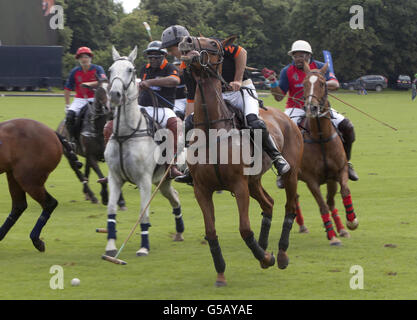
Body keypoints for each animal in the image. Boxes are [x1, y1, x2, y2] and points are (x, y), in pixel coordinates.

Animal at [0, 119, 83, 251]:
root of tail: (52, 133)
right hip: (14, 175)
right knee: (19, 206)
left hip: (29, 179)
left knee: (49, 203)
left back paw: (36, 239)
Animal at [57, 81, 126, 209]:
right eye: (99, 91)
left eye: (111, 88)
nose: (110, 108)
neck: (98, 129)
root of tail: (59, 127)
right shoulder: (92, 156)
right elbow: (101, 176)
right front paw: (105, 196)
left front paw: (121, 200)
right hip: (70, 156)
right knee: (79, 174)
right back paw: (92, 195)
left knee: (86, 172)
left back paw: (88, 194)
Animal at [103, 46, 184, 258]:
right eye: (110, 69)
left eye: (130, 69)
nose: (115, 95)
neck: (126, 134)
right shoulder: (115, 177)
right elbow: (111, 209)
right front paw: (111, 248)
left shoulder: (144, 180)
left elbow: (143, 213)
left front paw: (143, 247)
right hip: (162, 182)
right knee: (175, 197)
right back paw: (179, 231)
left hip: (161, 177)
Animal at [179, 36, 302, 286]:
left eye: (213, 44)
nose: (186, 41)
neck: (213, 129)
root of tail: (286, 117)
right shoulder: (202, 189)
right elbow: (211, 232)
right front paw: (221, 273)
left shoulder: (238, 185)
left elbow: (245, 229)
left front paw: (266, 258)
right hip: (254, 181)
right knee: (269, 204)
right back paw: (264, 246)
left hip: (290, 174)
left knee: (289, 206)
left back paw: (280, 254)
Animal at [294, 62, 360, 245]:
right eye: (304, 84)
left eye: (323, 83)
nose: (311, 107)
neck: (321, 137)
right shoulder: (311, 180)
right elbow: (322, 205)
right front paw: (332, 237)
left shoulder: (339, 171)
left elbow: (344, 192)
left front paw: (351, 221)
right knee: (295, 198)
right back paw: (303, 226)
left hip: (330, 180)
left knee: (331, 202)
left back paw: (342, 229)